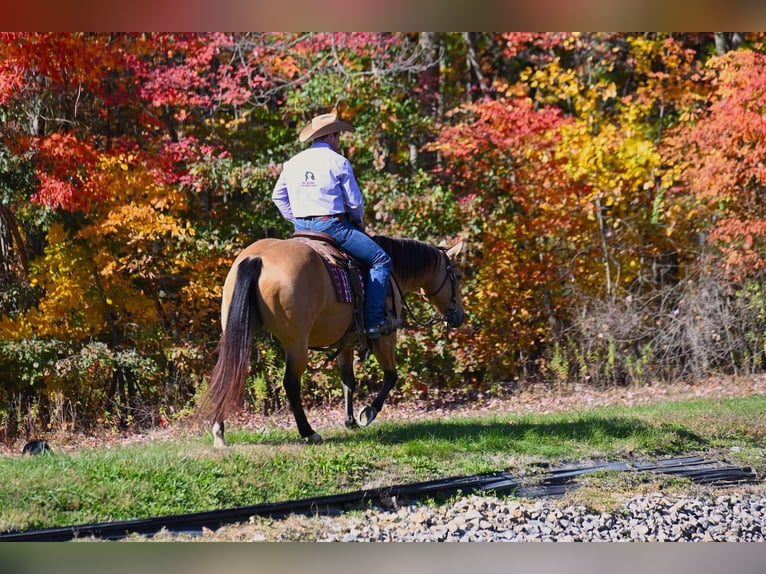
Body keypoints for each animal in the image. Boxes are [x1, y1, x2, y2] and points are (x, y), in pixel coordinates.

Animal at [196, 236, 468, 448]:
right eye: (456, 275)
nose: (460, 316)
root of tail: (257, 258)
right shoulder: (385, 336)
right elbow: (391, 376)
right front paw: (368, 413)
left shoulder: (347, 341)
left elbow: (348, 380)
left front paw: (350, 421)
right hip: (296, 343)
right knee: (291, 384)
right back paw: (309, 432)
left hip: (239, 333)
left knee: (229, 372)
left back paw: (219, 431)